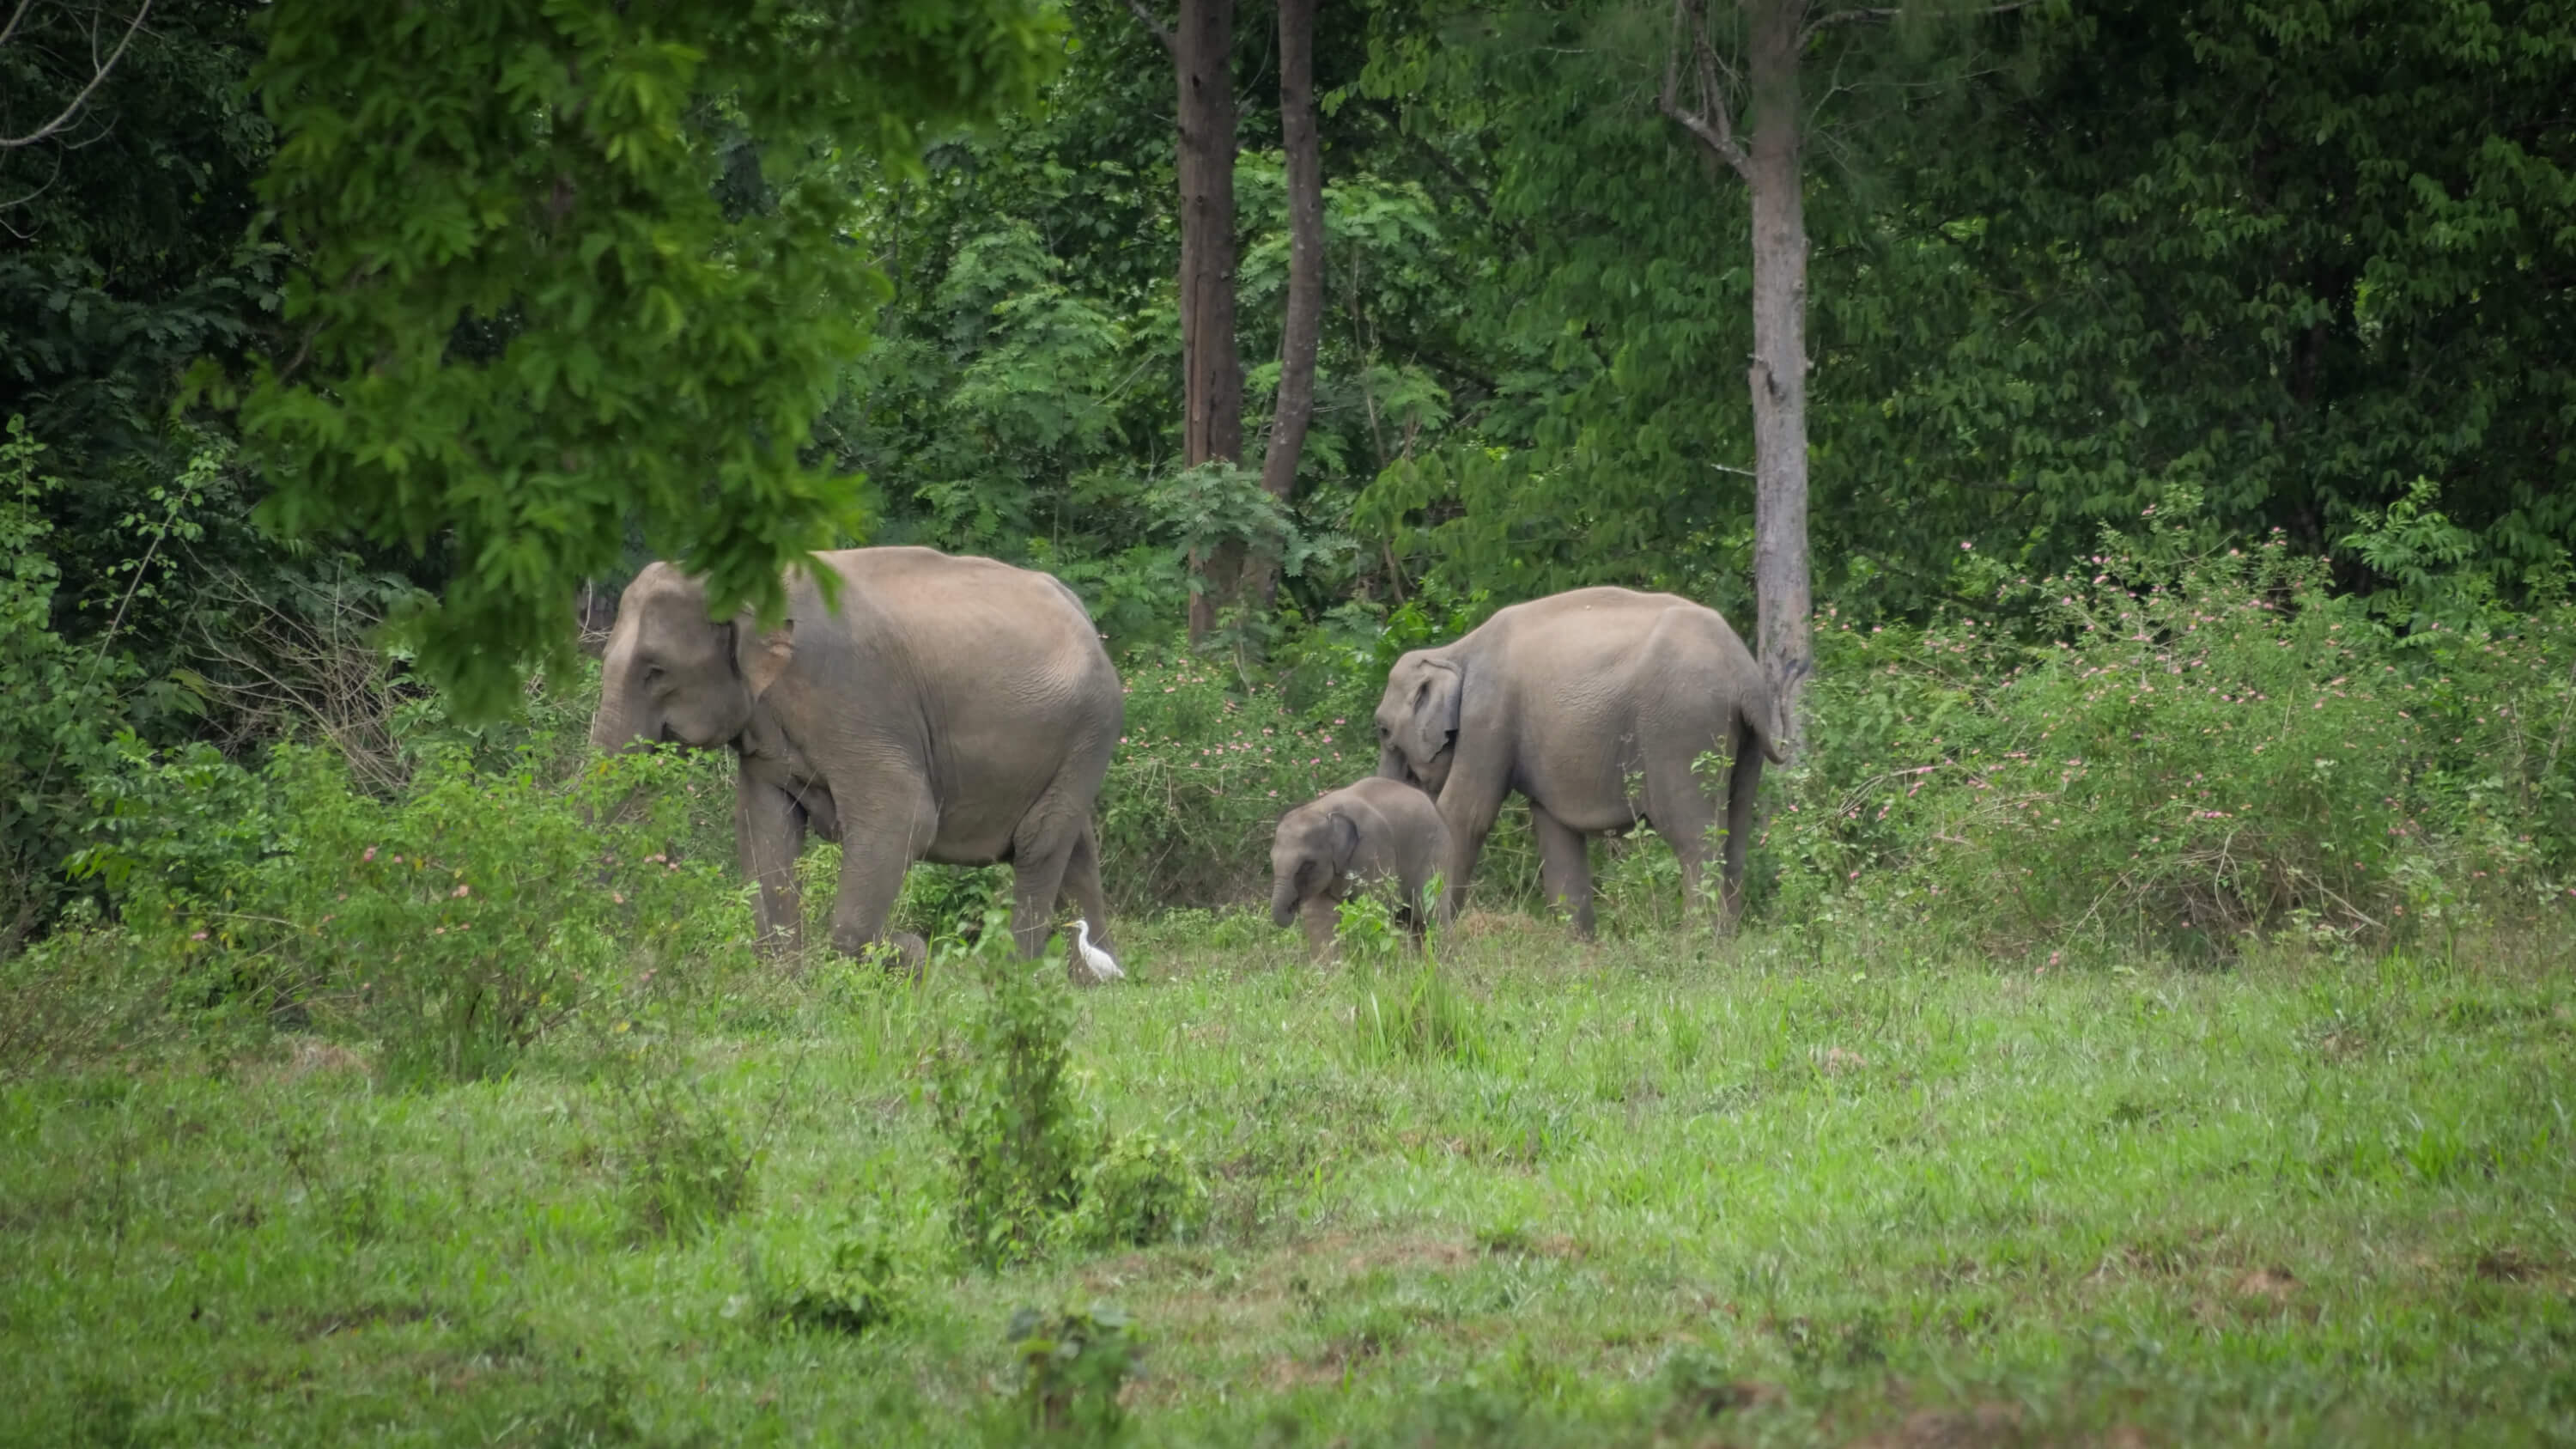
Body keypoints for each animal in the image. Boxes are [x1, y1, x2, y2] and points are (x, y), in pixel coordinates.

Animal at [603, 546, 1128, 964]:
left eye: (655, 670)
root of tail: (1080, 610)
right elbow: (765, 829)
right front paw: (783, 984)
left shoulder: (853, 697)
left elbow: (905, 815)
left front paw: (903, 952)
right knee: (1076, 846)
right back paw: (1096, 981)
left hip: (1093, 726)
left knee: (1039, 843)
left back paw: (1022, 974)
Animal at [1267, 773, 1453, 953]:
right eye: (1272, 859)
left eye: (1307, 864)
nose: (1293, 906)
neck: (1322, 810)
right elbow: (1320, 914)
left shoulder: (1372, 847)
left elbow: (1376, 904)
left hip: (1435, 855)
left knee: (1430, 911)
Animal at [1381, 580, 1783, 928]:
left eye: (1383, 731)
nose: (1399, 919)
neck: (1452, 652)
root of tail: (1743, 672)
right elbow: (1556, 832)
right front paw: (1579, 947)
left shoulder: (1487, 716)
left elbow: (1465, 815)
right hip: (1743, 743)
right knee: (1736, 834)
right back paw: (1726, 941)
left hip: (1682, 729)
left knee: (1694, 839)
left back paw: (1697, 944)